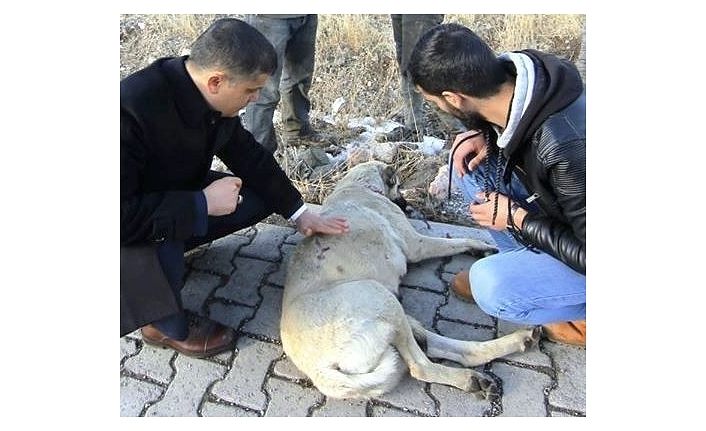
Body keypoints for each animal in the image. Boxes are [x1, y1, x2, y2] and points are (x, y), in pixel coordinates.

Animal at [280, 162, 540, 402]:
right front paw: (479, 245)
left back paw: (518, 342)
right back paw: (469, 379)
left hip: (394, 313)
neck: (358, 186)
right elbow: (457, 241)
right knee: (420, 366)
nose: (407, 205)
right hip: (380, 297)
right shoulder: (417, 245)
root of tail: (318, 370)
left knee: (447, 347)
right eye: (399, 186)